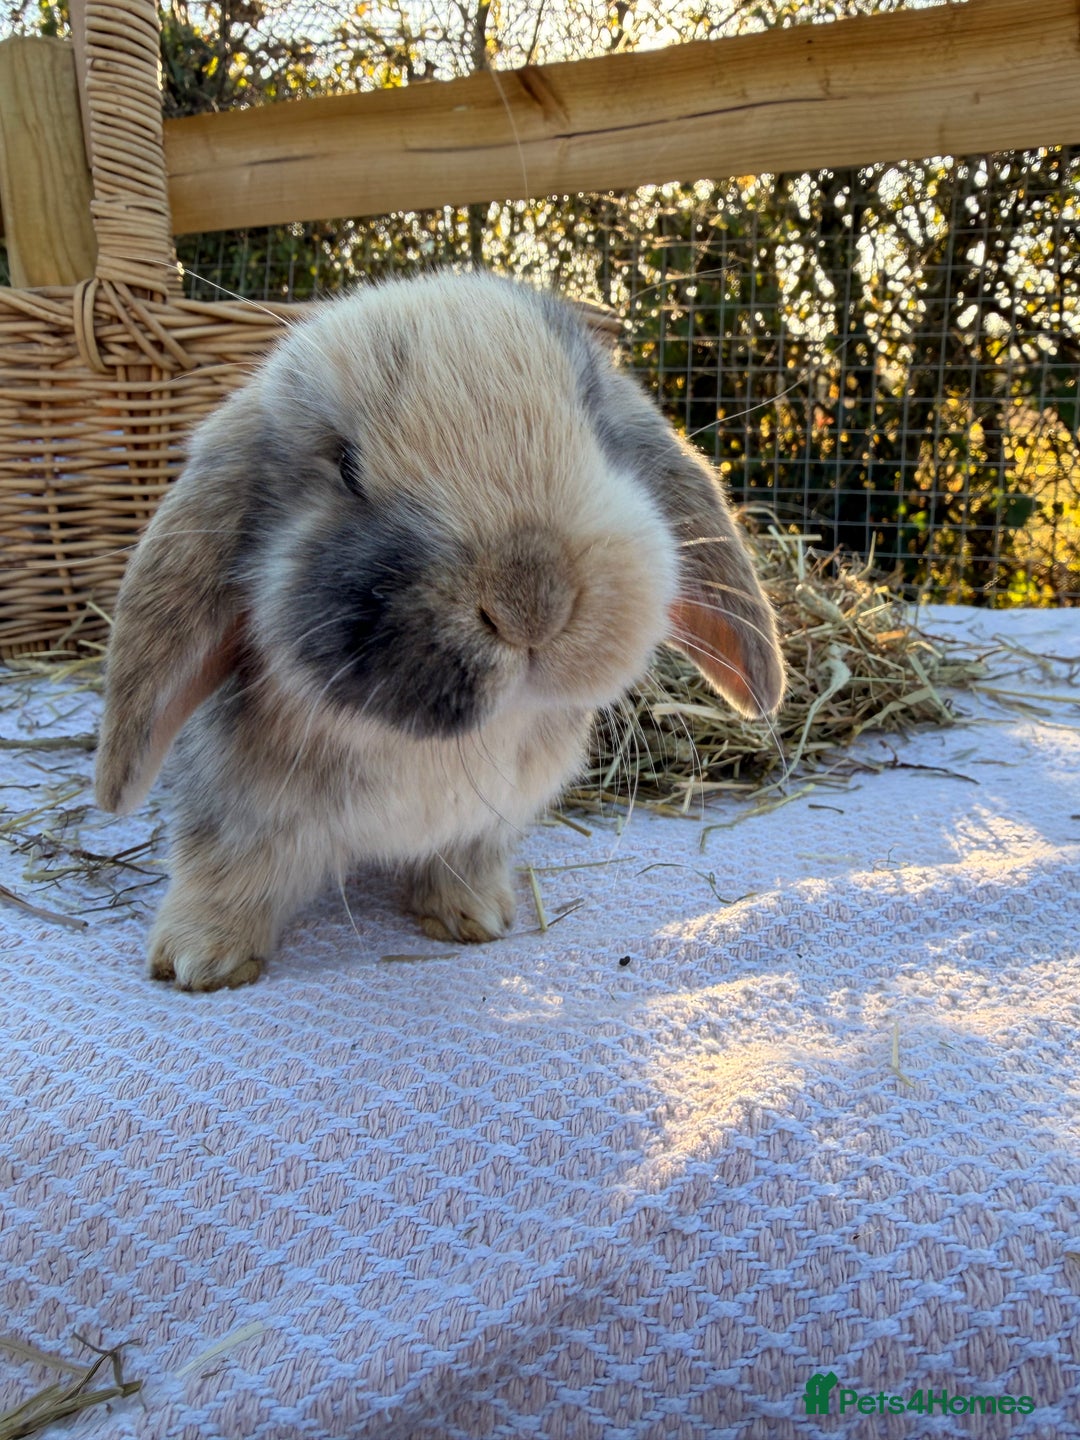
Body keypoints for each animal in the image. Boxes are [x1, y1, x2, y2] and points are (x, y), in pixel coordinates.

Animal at [95, 271, 785, 990]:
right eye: (345, 466)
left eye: (599, 430)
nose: (530, 599)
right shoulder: (237, 810)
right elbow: (224, 869)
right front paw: (199, 960)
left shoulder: (483, 825)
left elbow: (462, 862)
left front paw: (473, 918)